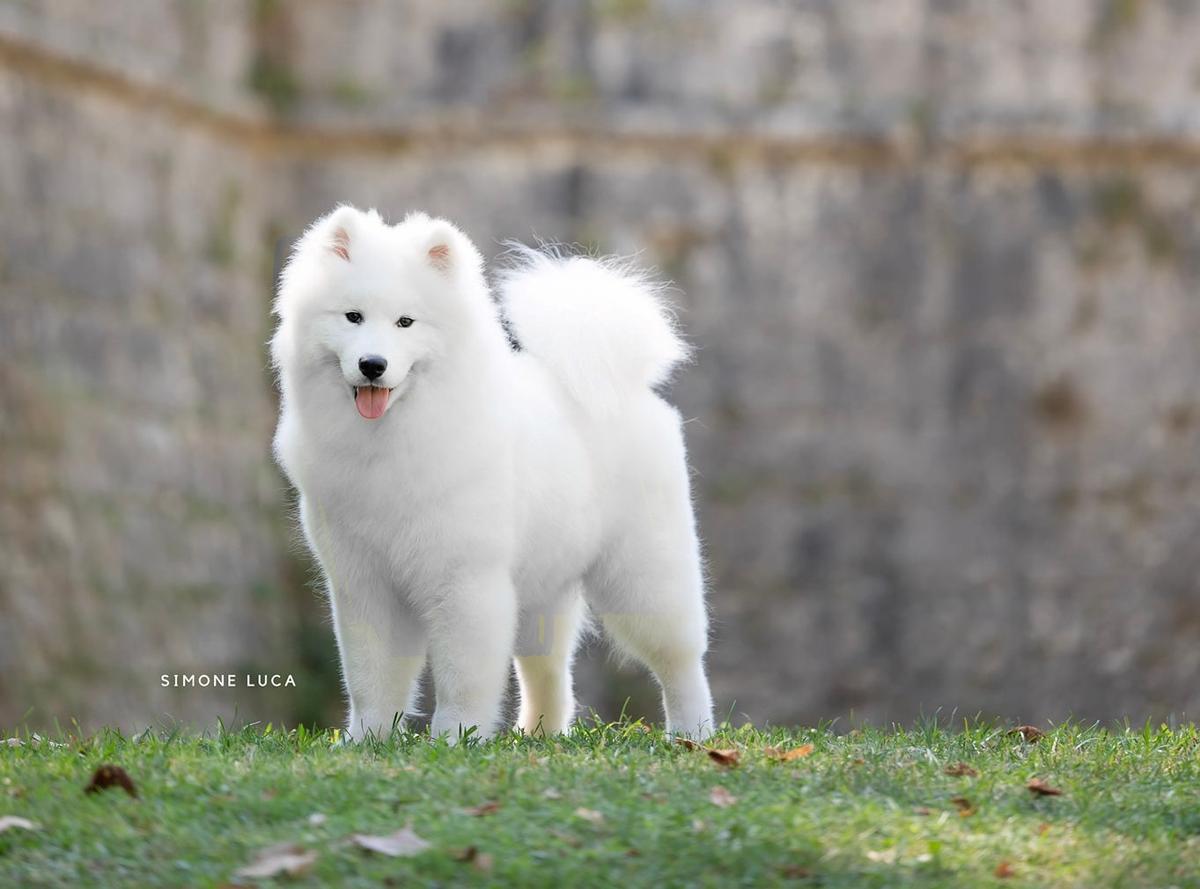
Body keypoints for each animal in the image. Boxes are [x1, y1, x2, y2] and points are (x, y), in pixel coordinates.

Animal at [270, 205, 710, 739]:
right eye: (352, 317)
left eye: (405, 322)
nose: (372, 364)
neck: (393, 440)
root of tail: (627, 387)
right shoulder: (365, 584)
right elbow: (370, 678)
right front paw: (367, 740)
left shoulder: (464, 581)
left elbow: (462, 677)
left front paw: (455, 738)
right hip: (542, 593)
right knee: (550, 673)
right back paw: (540, 736)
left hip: (644, 579)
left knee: (680, 661)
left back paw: (693, 733)